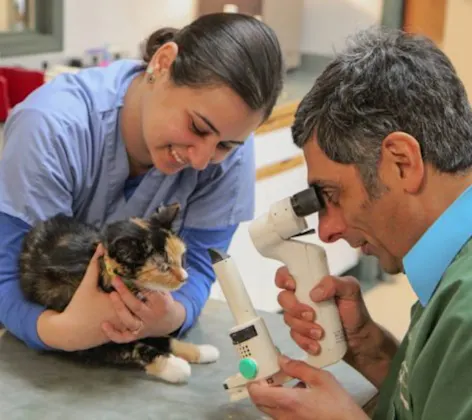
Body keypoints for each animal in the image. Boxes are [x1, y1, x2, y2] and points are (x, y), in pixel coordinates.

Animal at [16, 203, 219, 384]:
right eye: (163, 267)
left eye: (181, 258)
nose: (185, 277)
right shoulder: (88, 338)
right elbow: (135, 348)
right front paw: (175, 367)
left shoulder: (146, 324)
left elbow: (163, 337)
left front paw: (202, 351)